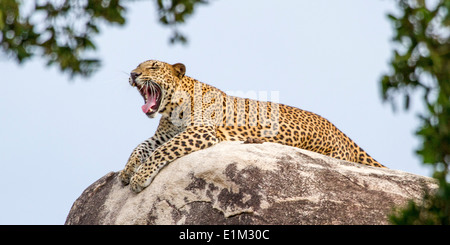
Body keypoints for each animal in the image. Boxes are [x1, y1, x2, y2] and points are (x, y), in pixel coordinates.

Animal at [120, 59, 386, 193]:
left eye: (153, 66)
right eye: (138, 65)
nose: (132, 74)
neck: (172, 107)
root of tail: (340, 131)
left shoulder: (200, 131)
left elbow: (160, 152)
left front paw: (139, 177)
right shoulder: (164, 134)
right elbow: (140, 147)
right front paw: (126, 171)